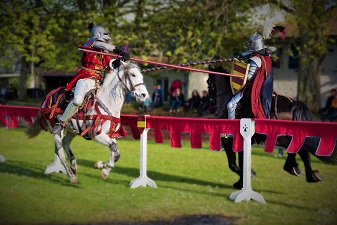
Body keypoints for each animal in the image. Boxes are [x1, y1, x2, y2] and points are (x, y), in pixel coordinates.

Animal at [207, 64, 336, 189]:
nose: (210, 100)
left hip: (281, 138)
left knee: (296, 150)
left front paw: (244, 180)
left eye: (208, 82)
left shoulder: (228, 141)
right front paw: (243, 180)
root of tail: (293, 104)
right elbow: (239, 162)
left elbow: (233, 164)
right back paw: (310, 175)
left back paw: (292, 168)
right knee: (302, 151)